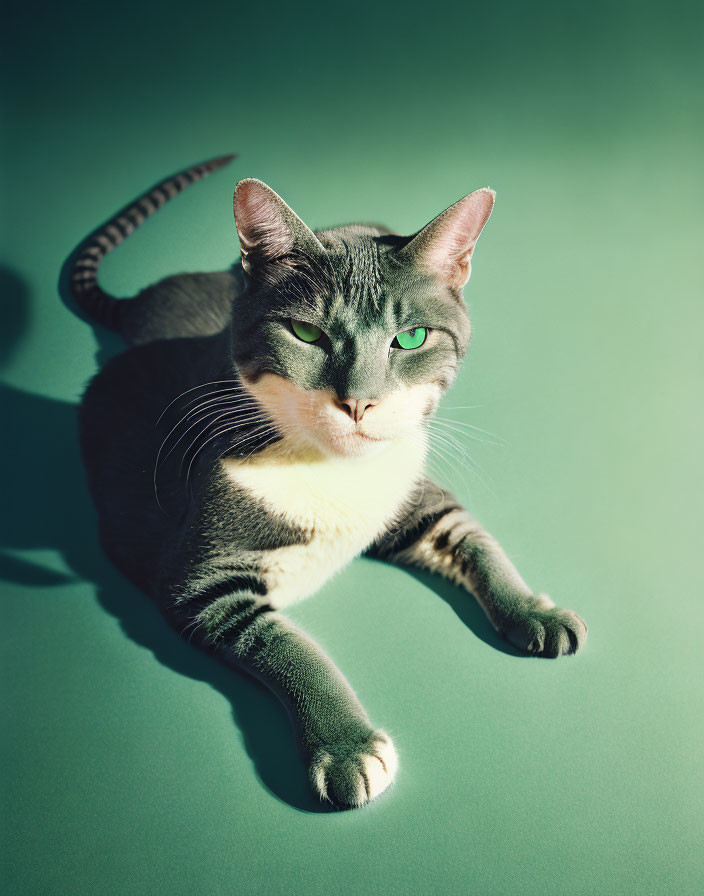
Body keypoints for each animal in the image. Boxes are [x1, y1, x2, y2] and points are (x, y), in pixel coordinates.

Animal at [71, 156, 588, 812]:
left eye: (411, 338)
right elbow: (290, 648)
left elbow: (474, 540)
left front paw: (531, 609)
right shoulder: (196, 580)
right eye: (307, 333)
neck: (332, 471)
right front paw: (344, 747)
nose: (360, 402)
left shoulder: (410, 496)